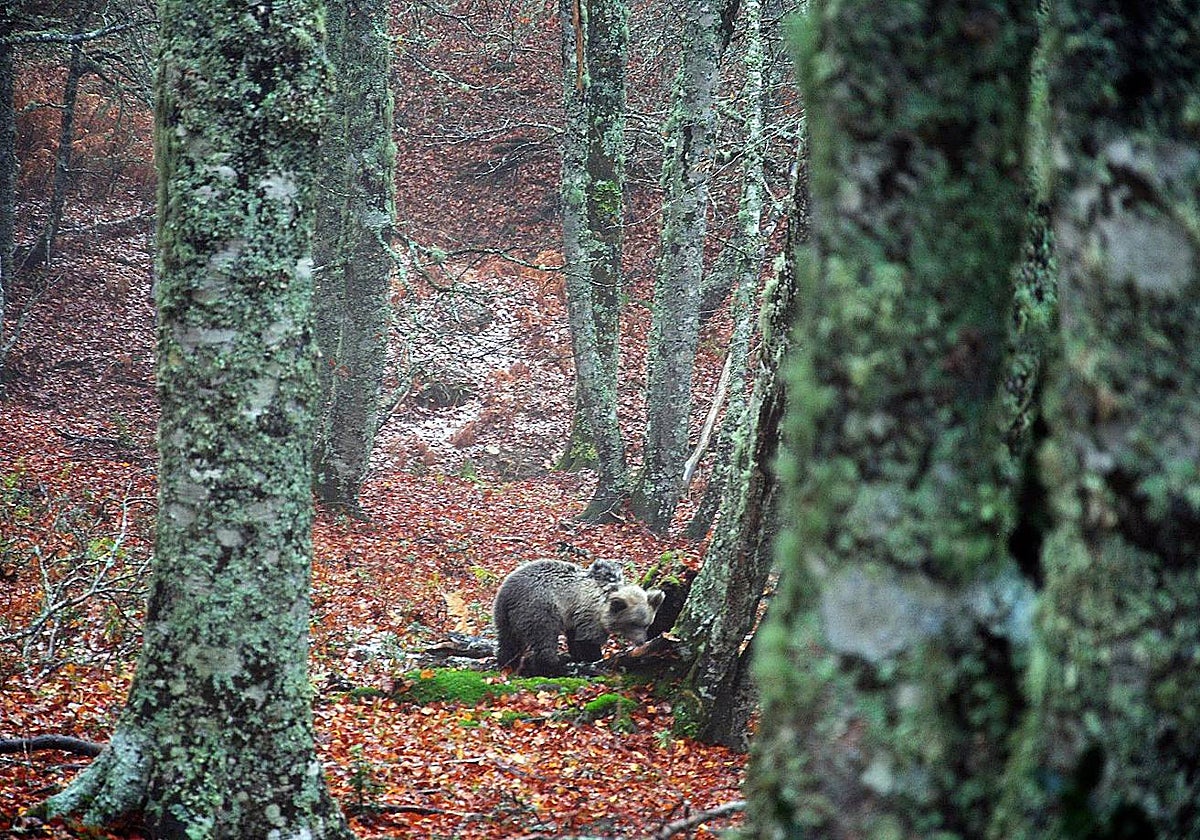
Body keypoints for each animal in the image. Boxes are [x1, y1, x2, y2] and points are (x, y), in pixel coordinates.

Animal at [493, 559, 665, 676]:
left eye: (647, 624)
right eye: (633, 623)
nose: (641, 641)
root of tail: (508, 594)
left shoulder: (575, 617)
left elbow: (575, 639)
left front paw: (577, 657)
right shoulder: (590, 615)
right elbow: (588, 641)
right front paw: (594, 660)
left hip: (505, 616)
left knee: (509, 641)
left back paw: (507, 664)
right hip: (540, 609)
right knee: (544, 641)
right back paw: (554, 667)